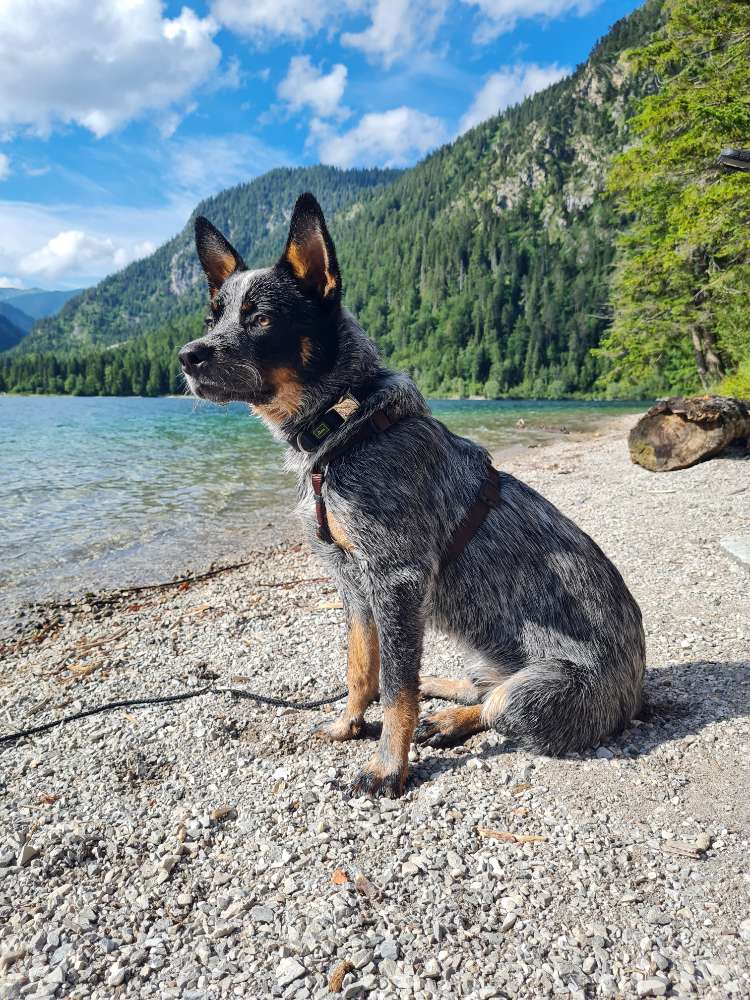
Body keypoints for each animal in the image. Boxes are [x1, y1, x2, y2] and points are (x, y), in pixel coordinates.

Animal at [178, 191, 648, 796]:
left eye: (260, 319)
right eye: (211, 317)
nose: (188, 356)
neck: (342, 428)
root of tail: (636, 693)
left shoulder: (396, 580)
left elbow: (397, 687)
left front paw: (387, 765)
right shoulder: (353, 584)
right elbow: (362, 670)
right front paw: (347, 726)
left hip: (534, 694)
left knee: (495, 704)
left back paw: (448, 718)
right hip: (482, 655)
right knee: (479, 686)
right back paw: (446, 693)